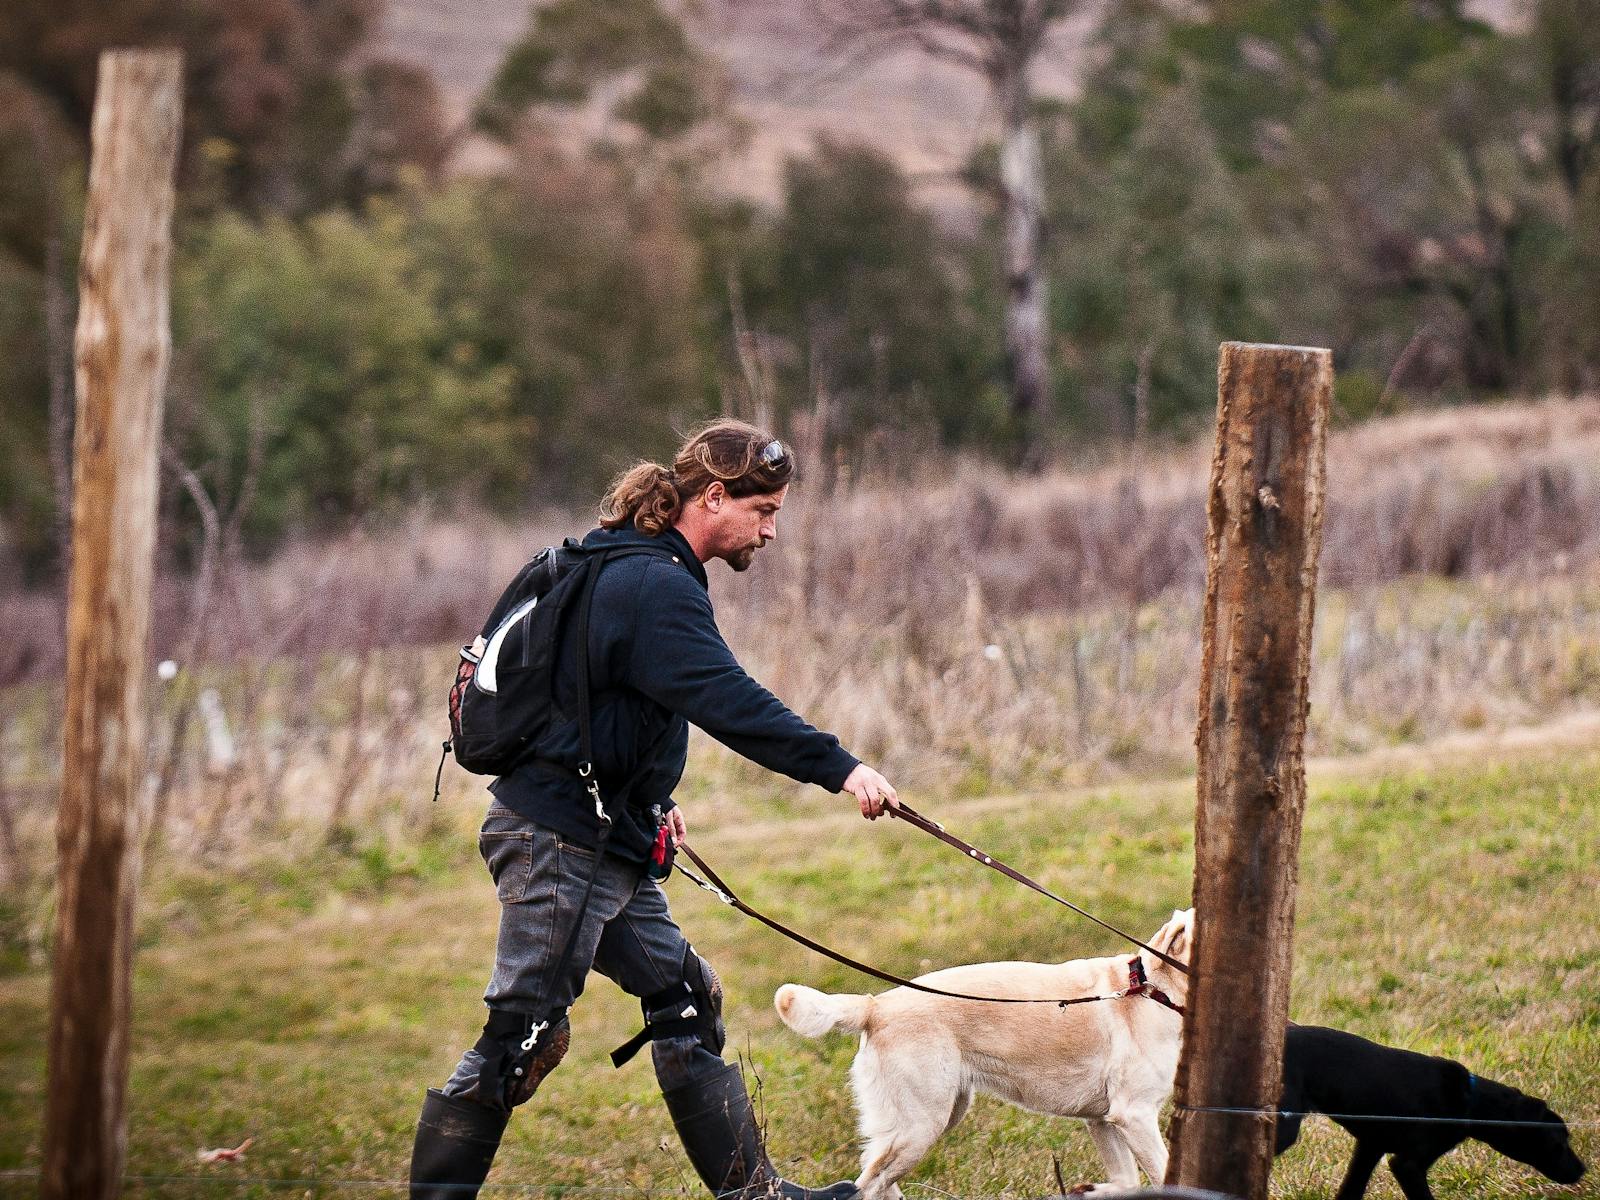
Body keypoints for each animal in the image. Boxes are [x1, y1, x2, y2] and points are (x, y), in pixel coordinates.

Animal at [774, 908, 1190, 1200]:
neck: (1155, 990)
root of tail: (875, 1006)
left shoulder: (1102, 1119)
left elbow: (1126, 1181)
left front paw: (1088, 1191)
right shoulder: (1133, 1116)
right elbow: (1165, 1176)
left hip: (938, 1116)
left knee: (872, 1176)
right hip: (920, 1126)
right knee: (868, 1184)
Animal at [1280, 1024, 1580, 1200]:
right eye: (1559, 1143)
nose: (1582, 1169)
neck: (1470, 1101)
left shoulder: (1370, 1147)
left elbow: (1351, 1190)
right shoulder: (1408, 1164)